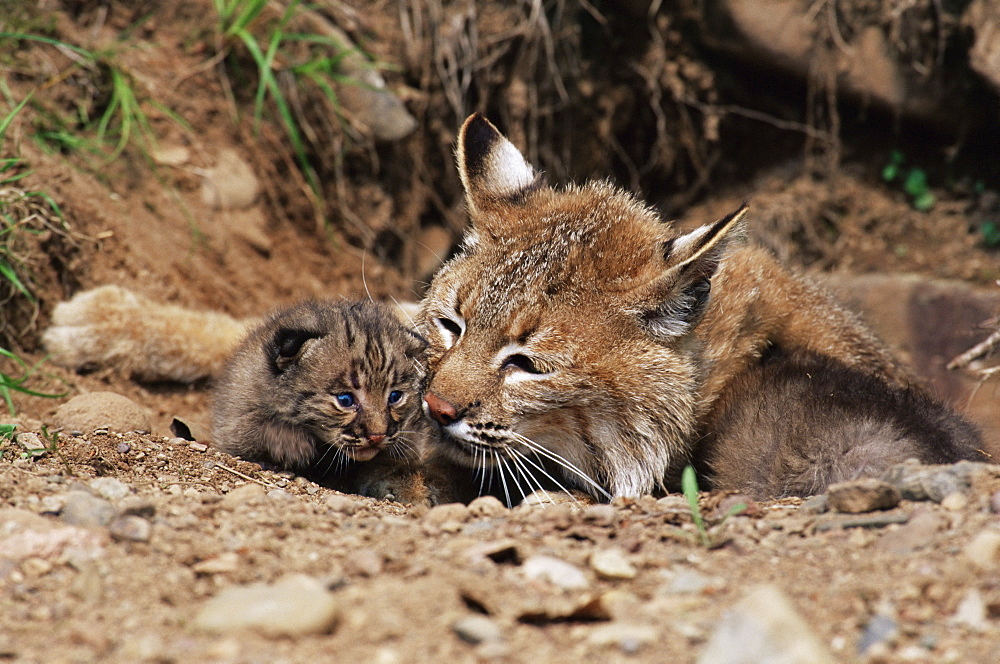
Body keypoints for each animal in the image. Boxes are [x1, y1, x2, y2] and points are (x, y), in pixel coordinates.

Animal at [213, 298, 432, 500]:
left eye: (395, 397)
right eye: (345, 400)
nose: (377, 436)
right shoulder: (230, 425)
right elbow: (253, 424)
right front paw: (292, 443)